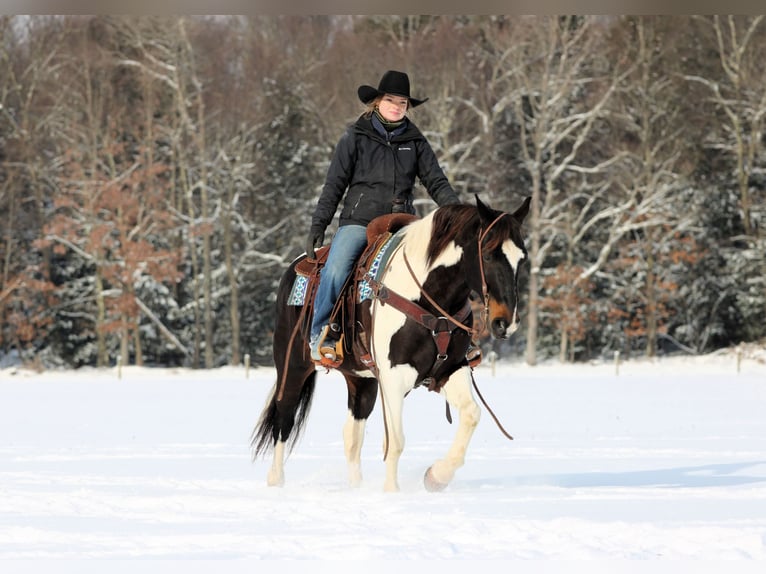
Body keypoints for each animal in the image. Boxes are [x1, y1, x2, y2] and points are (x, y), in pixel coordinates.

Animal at [251, 195, 530, 492]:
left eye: (522, 258)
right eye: (487, 254)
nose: (506, 322)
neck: (426, 296)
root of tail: (297, 265)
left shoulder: (449, 370)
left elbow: (471, 414)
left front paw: (436, 477)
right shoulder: (393, 377)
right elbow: (394, 441)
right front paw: (392, 494)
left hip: (361, 380)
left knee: (352, 436)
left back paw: (356, 487)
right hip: (292, 365)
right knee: (283, 420)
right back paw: (276, 482)